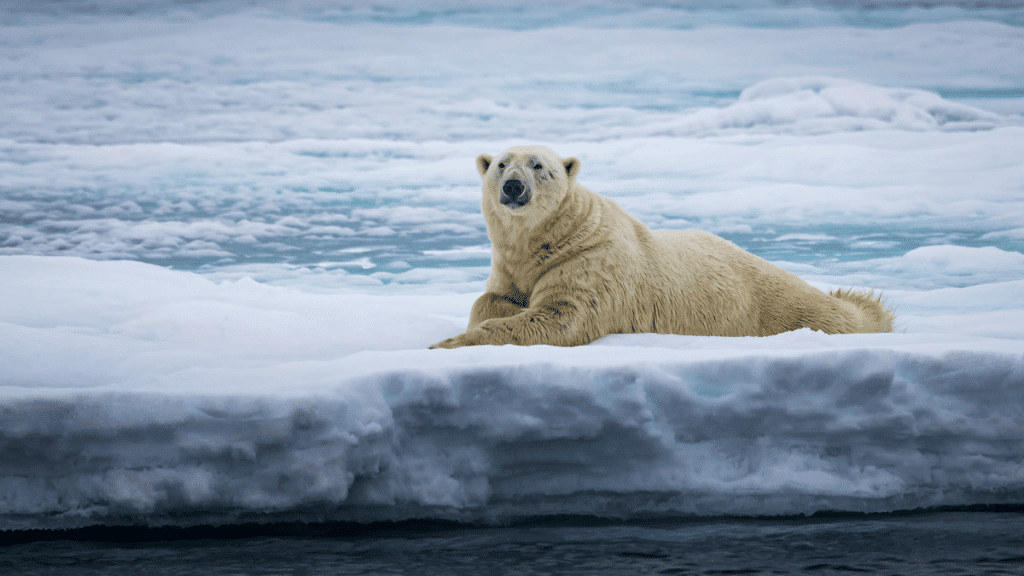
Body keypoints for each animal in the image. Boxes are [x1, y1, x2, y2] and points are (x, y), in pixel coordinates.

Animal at [428, 145, 892, 348]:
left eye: (540, 166)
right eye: (501, 164)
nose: (513, 187)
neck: (553, 237)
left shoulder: (592, 262)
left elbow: (560, 317)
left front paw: (446, 344)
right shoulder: (511, 263)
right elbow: (493, 298)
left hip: (771, 305)